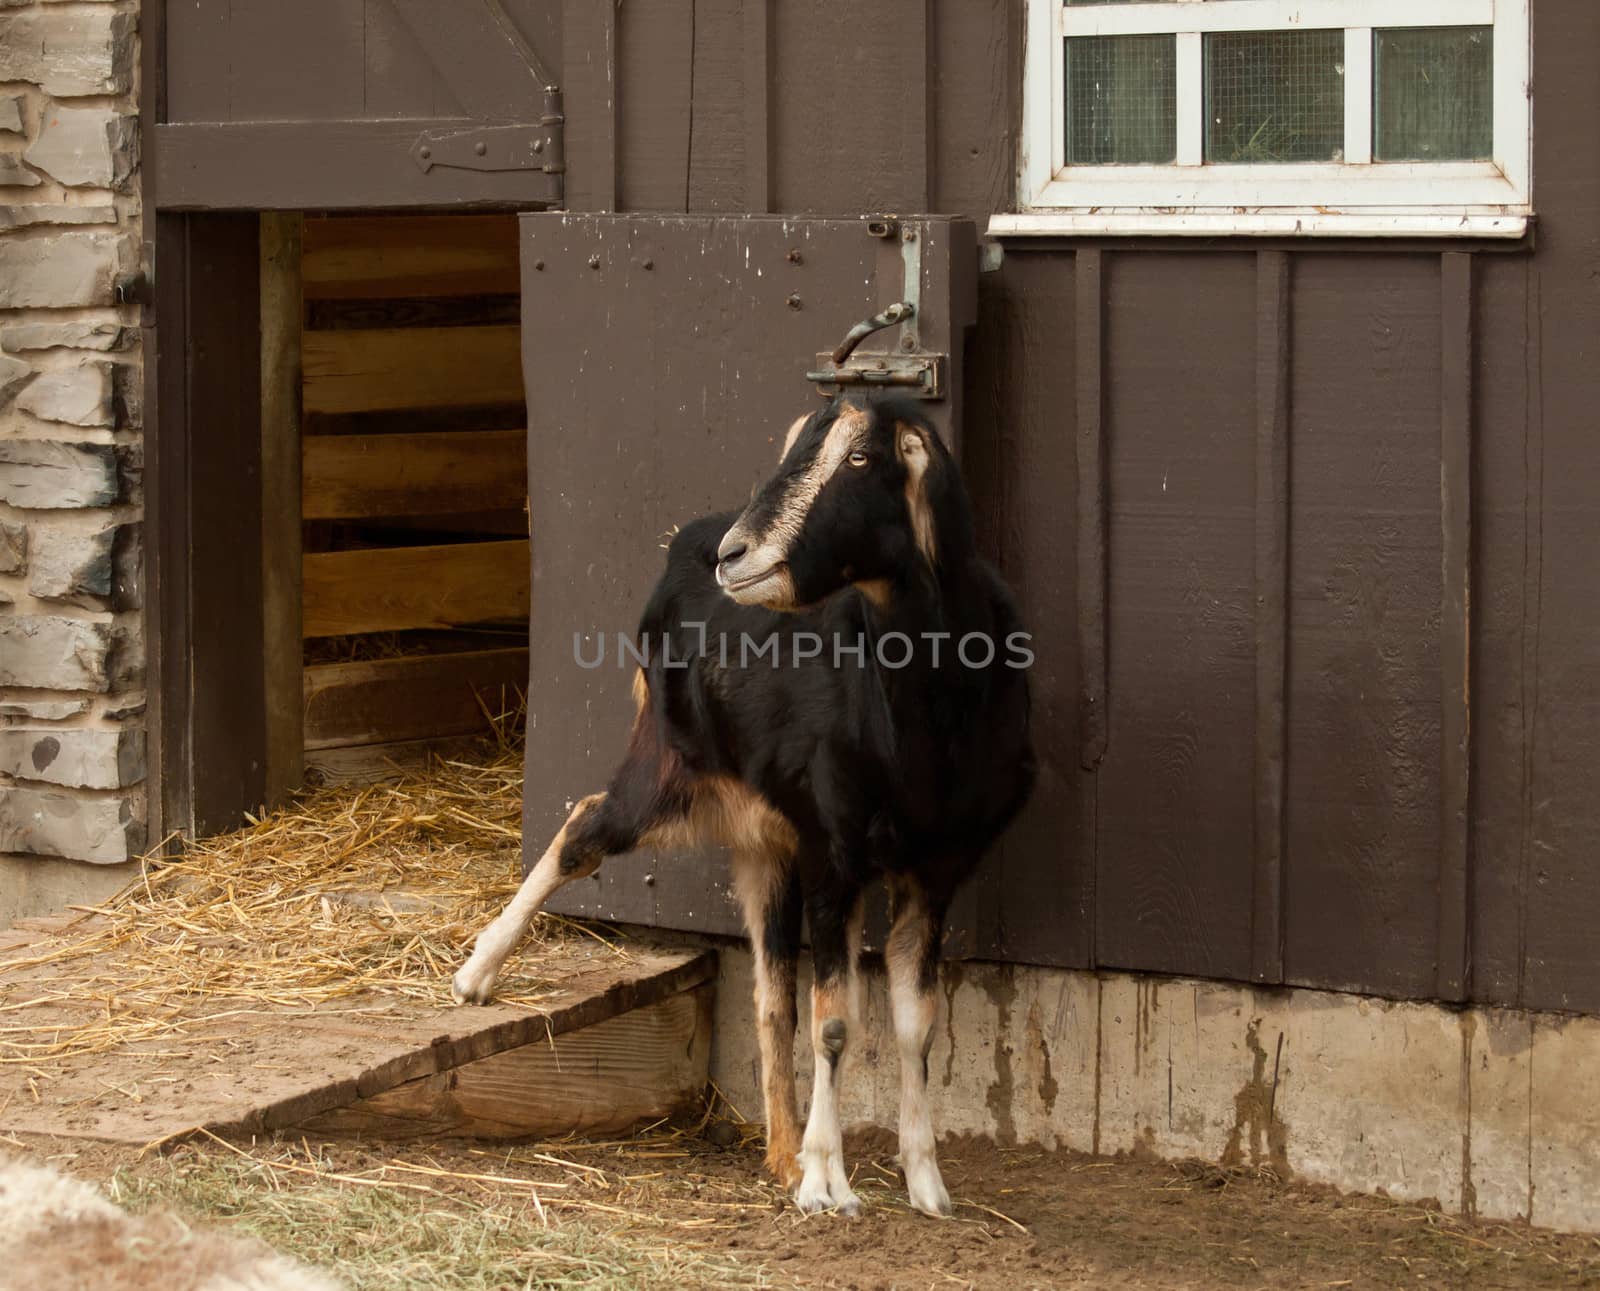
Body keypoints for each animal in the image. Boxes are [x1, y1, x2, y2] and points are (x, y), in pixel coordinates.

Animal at [457, 396, 1043, 1222]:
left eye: (860, 458)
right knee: (583, 825)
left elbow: (912, 1024)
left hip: (767, 838)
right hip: (671, 763)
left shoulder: (933, 868)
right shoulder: (836, 851)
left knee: (770, 994)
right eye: (794, 445)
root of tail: (681, 546)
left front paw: (926, 1183)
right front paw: (829, 1183)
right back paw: (476, 972)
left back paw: (781, 1150)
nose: (735, 555)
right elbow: (836, 1021)